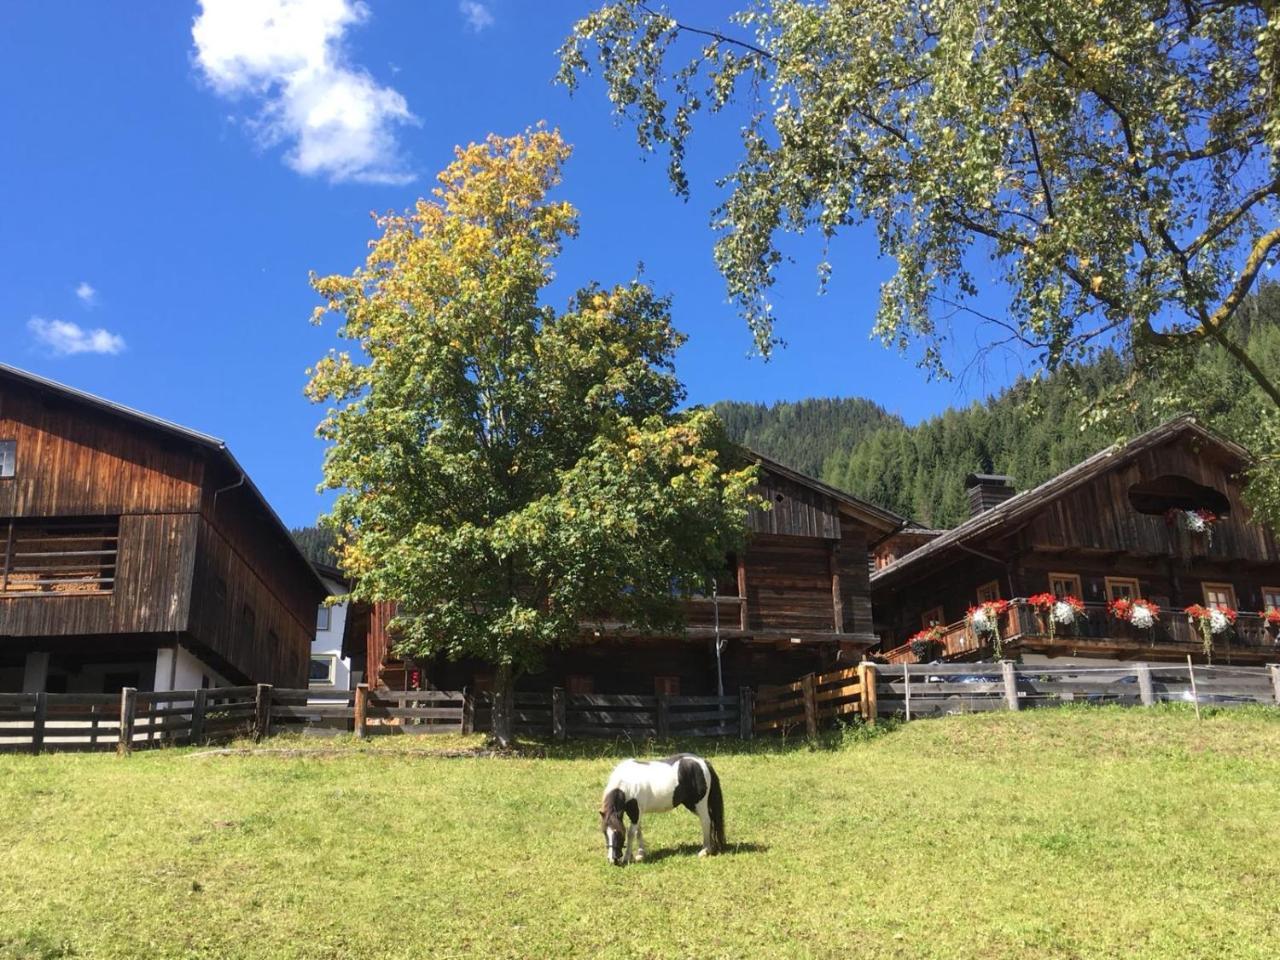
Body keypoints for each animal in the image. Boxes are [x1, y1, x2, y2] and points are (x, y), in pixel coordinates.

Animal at [596, 757, 727, 870]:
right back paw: (712, 848)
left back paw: (705, 850)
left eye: (618, 833)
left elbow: (631, 833)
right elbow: (638, 831)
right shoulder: (637, 813)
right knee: (711, 821)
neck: (626, 783)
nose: (612, 860)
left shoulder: (635, 813)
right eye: (604, 833)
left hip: (699, 803)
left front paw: (627, 858)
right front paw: (640, 854)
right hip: (692, 805)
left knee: (706, 821)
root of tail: (702, 762)